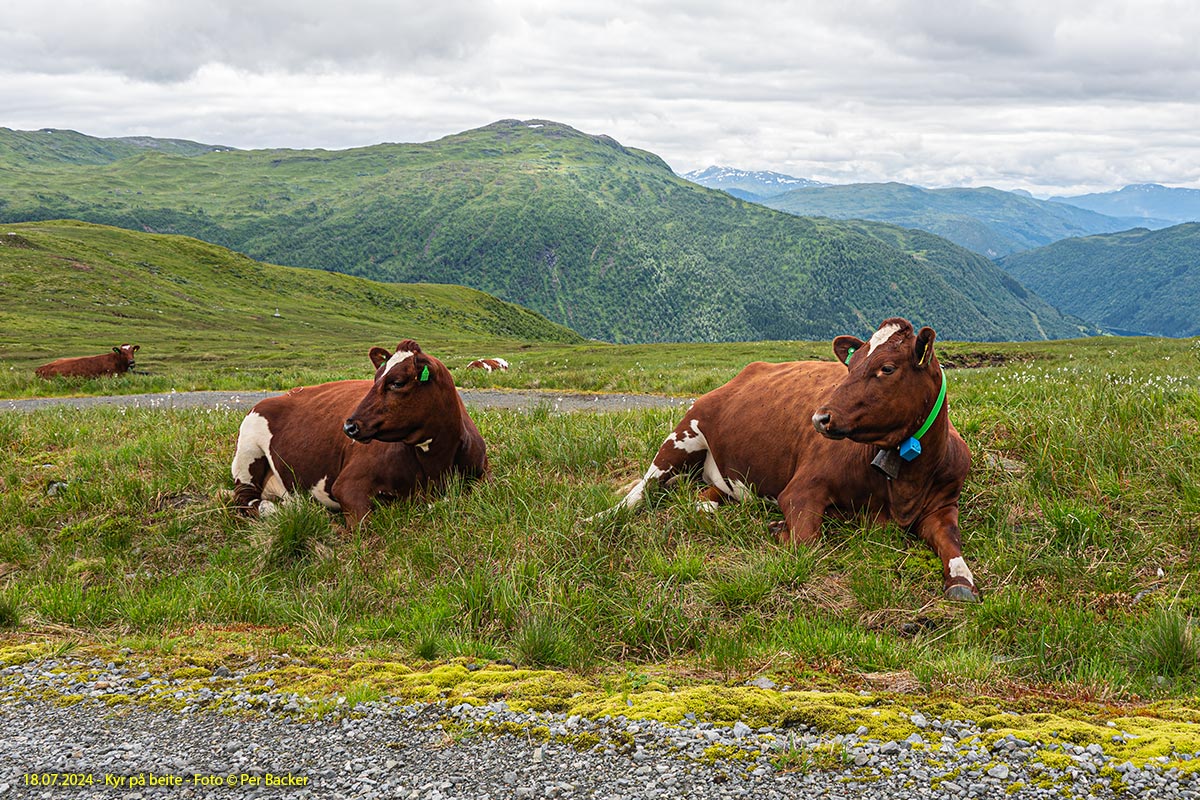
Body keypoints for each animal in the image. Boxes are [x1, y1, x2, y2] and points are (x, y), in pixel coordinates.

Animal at [231, 338, 489, 525]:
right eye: (374, 379)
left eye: (397, 382)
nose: (349, 426)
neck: (436, 464)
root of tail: (284, 394)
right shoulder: (347, 485)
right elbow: (364, 527)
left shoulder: (483, 475)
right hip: (247, 452)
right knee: (244, 500)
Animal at [604, 316, 979, 599]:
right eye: (851, 366)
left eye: (887, 368)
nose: (820, 418)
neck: (905, 483)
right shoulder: (802, 490)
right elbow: (806, 544)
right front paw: (779, 529)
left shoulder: (943, 505)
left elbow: (953, 542)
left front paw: (962, 582)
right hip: (684, 433)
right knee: (641, 491)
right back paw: (602, 517)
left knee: (705, 497)